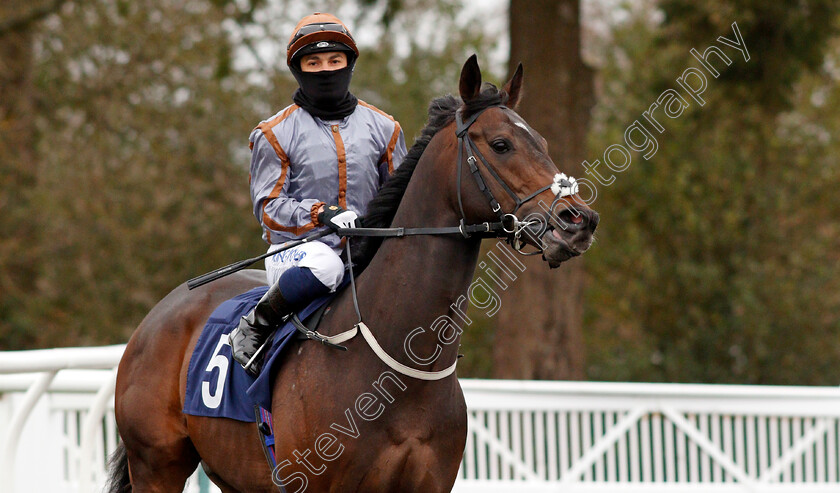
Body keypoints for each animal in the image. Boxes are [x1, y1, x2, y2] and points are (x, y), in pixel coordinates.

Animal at [108, 54, 600, 492]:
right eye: (501, 144)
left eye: (543, 143)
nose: (579, 220)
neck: (400, 367)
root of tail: (160, 313)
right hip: (157, 465)